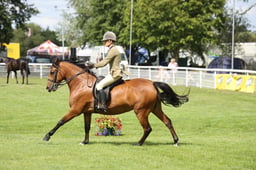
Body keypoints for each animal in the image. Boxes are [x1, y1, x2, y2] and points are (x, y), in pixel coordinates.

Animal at [43, 58, 189, 146]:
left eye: (52, 72)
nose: (48, 88)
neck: (82, 84)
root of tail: (152, 83)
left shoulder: (75, 110)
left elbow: (60, 121)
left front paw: (47, 136)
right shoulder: (86, 112)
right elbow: (87, 127)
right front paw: (85, 142)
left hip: (141, 112)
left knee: (147, 128)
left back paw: (138, 143)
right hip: (155, 109)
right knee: (167, 121)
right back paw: (175, 141)